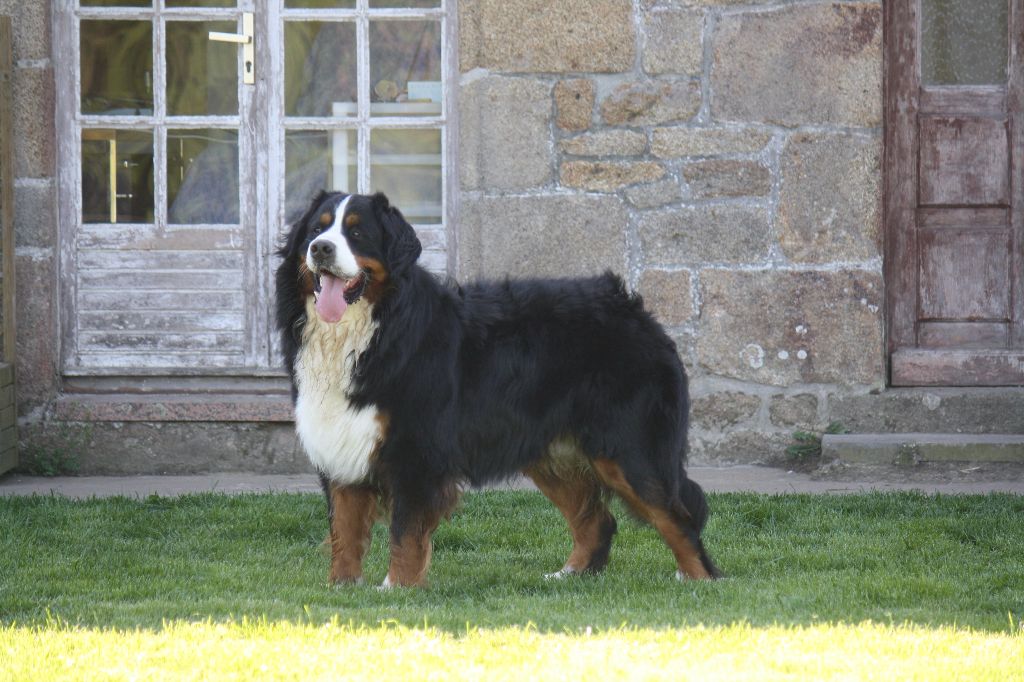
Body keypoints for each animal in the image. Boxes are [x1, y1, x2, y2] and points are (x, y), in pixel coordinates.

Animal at [274, 189, 720, 585]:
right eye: (317, 228)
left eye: (357, 232)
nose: (320, 249)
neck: (371, 331)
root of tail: (638, 313)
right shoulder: (342, 444)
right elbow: (345, 532)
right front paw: (343, 589)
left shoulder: (417, 452)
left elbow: (405, 534)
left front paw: (396, 589)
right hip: (552, 453)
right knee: (599, 520)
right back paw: (569, 576)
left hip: (628, 450)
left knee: (678, 517)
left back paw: (699, 582)